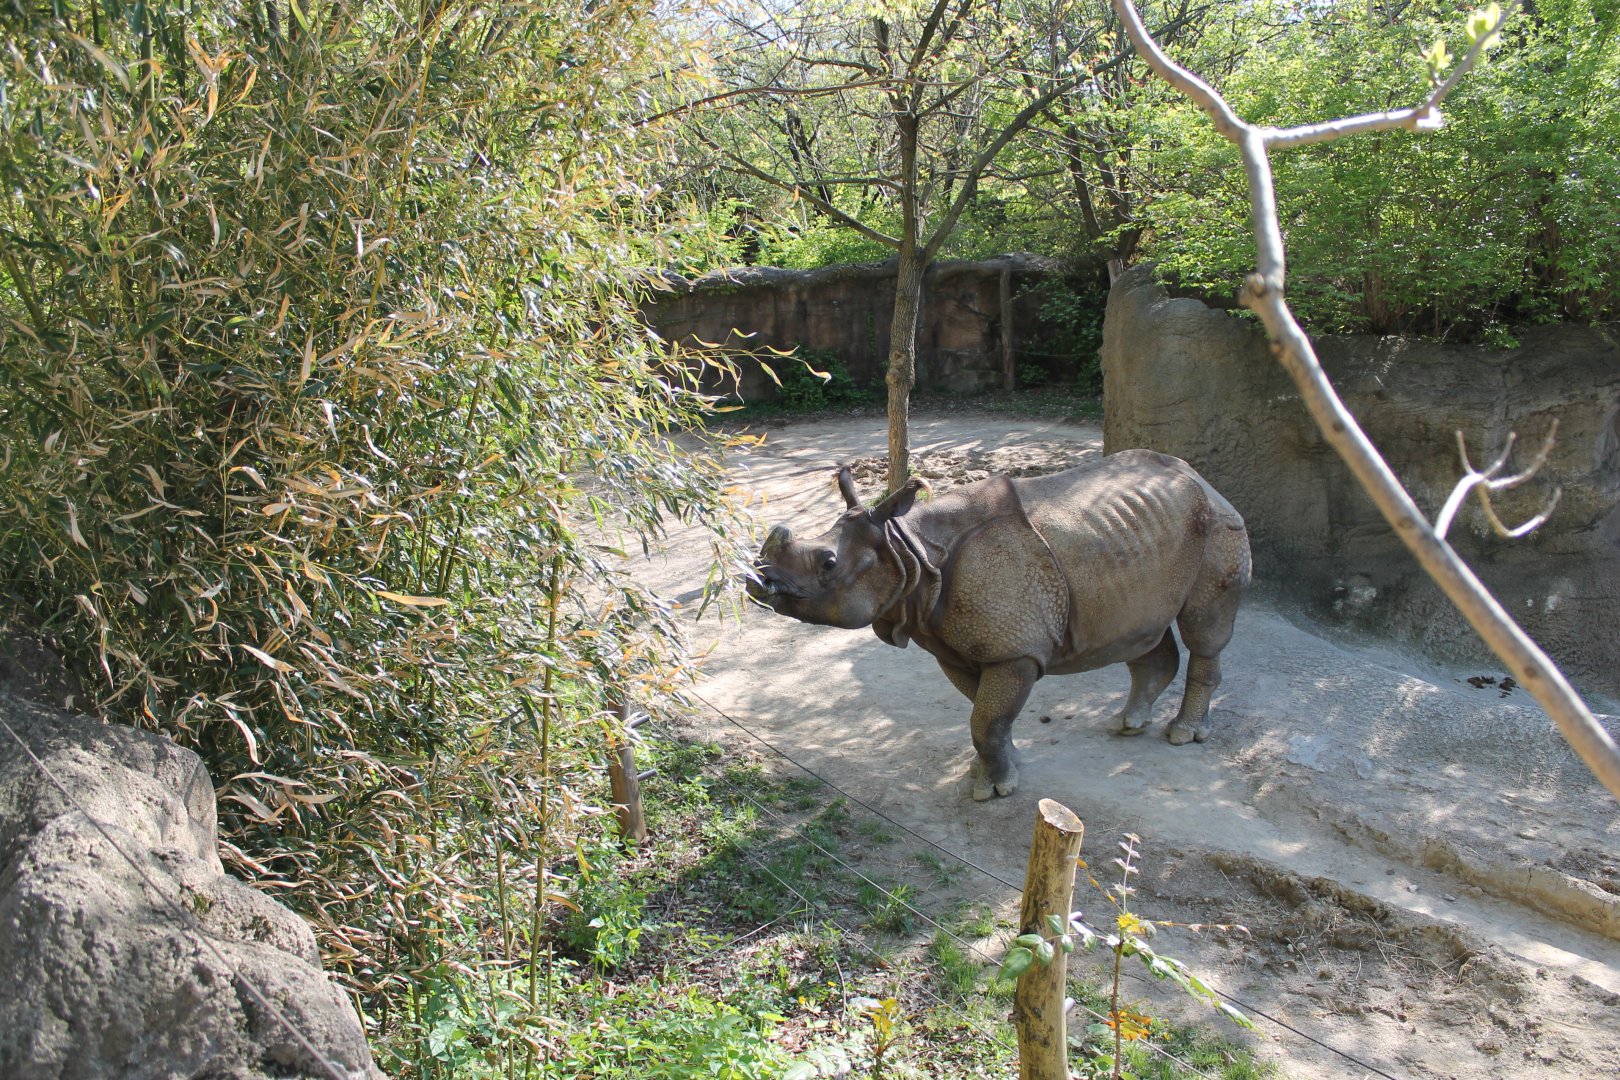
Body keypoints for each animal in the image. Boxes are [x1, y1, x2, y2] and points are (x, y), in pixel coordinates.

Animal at [747, 450, 1251, 801]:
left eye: (828, 564)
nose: (756, 578)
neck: (909, 550)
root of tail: (1201, 478)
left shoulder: (1014, 650)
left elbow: (985, 720)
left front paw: (994, 792)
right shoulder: (954, 647)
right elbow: (986, 717)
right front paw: (1000, 770)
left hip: (1218, 525)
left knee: (1204, 630)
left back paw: (1182, 734)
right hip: (1146, 540)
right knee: (1142, 631)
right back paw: (1128, 724)